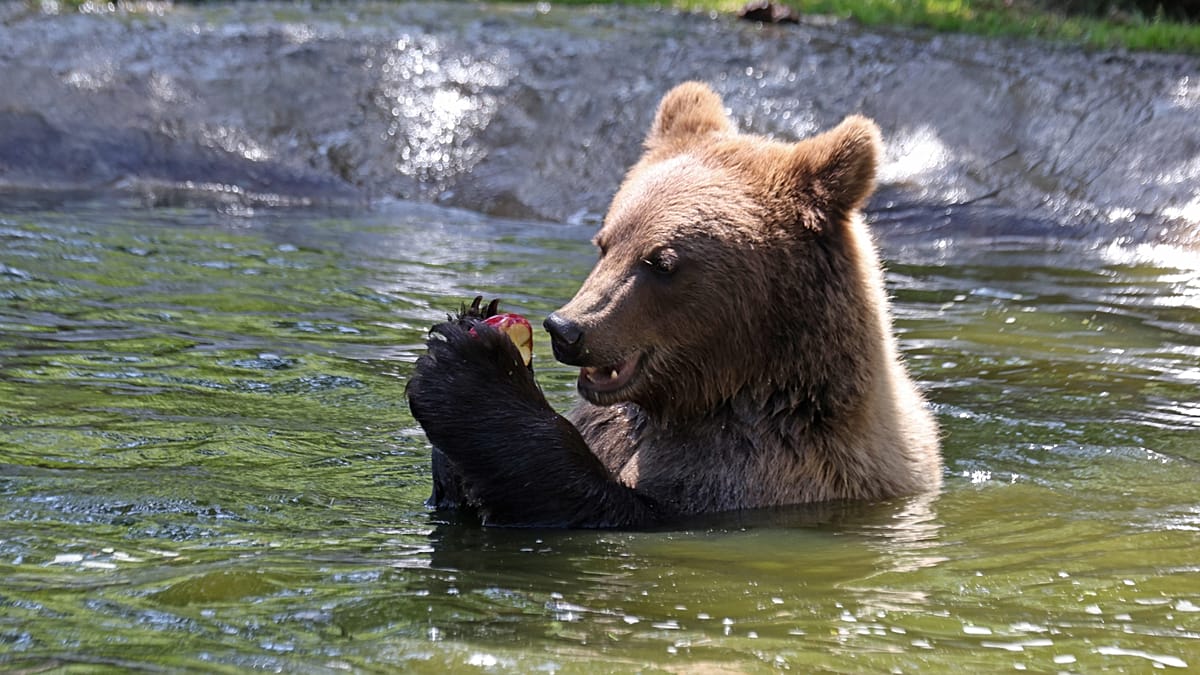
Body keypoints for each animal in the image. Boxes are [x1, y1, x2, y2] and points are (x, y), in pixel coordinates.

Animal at [406, 81, 942, 528]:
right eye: (605, 242)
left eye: (661, 262)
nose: (567, 328)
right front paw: (470, 322)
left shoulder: (760, 474)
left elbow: (597, 503)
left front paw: (471, 370)